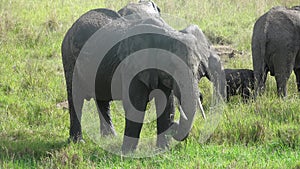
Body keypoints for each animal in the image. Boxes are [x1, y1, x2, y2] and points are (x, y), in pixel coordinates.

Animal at [61, 0, 225, 153]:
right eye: (172, 67)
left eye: (199, 71)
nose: (175, 125)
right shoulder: (131, 66)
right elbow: (136, 105)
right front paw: (127, 154)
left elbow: (166, 104)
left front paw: (162, 150)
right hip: (68, 56)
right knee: (75, 97)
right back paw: (78, 142)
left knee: (101, 98)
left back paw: (109, 137)